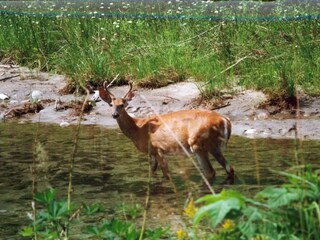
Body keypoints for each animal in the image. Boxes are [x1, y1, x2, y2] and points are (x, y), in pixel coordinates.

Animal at [99, 82, 234, 184]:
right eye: (111, 104)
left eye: (122, 105)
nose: (115, 114)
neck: (138, 129)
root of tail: (224, 120)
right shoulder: (151, 152)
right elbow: (152, 172)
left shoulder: (158, 148)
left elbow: (167, 175)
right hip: (213, 145)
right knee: (229, 169)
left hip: (197, 142)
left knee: (210, 172)